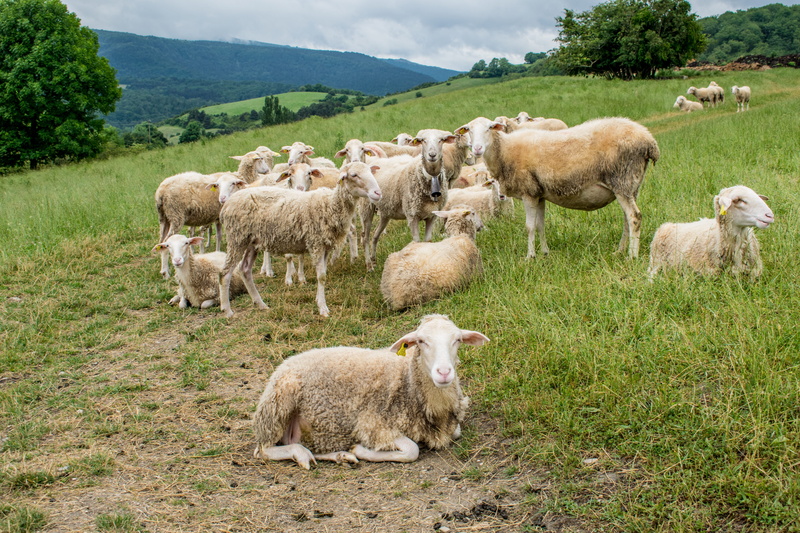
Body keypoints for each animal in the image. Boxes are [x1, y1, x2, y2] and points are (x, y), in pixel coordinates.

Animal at [218, 162, 382, 318]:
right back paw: (227, 311)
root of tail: (227, 204)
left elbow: (323, 275)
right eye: (354, 175)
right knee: (225, 274)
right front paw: (323, 308)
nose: (378, 193)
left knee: (245, 269)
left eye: (370, 171)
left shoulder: (325, 247)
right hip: (237, 238)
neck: (330, 205)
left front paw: (319, 300)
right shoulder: (316, 243)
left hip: (252, 242)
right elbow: (321, 276)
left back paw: (260, 304)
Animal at [252, 314, 490, 469]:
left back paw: (339, 455)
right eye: (421, 341)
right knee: (264, 450)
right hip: (276, 406)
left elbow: (456, 432)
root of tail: (286, 362)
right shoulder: (373, 424)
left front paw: (354, 452)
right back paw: (302, 455)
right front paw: (362, 450)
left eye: (457, 340)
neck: (407, 382)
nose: (444, 372)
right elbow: (411, 450)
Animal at [360, 129, 457, 271]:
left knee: (375, 235)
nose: (432, 155)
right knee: (365, 237)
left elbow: (427, 241)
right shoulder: (412, 215)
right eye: (423, 141)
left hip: (385, 211)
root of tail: (374, 163)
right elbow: (416, 242)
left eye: (441, 140)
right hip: (366, 208)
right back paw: (368, 265)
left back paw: (373, 260)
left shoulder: (432, 216)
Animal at [456, 116, 659, 259]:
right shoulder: (539, 194)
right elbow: (540, 225)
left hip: (622, 180)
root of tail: (649, 140)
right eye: (468, 130)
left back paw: (632, 255)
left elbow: (529, 227)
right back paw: (620, 251)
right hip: (631, 185)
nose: (477, 149)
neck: (504, 151)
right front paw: (545, 252)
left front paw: (530, 256)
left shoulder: (529, 193)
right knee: (627, 218)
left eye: (490, 127)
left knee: (634, 217)